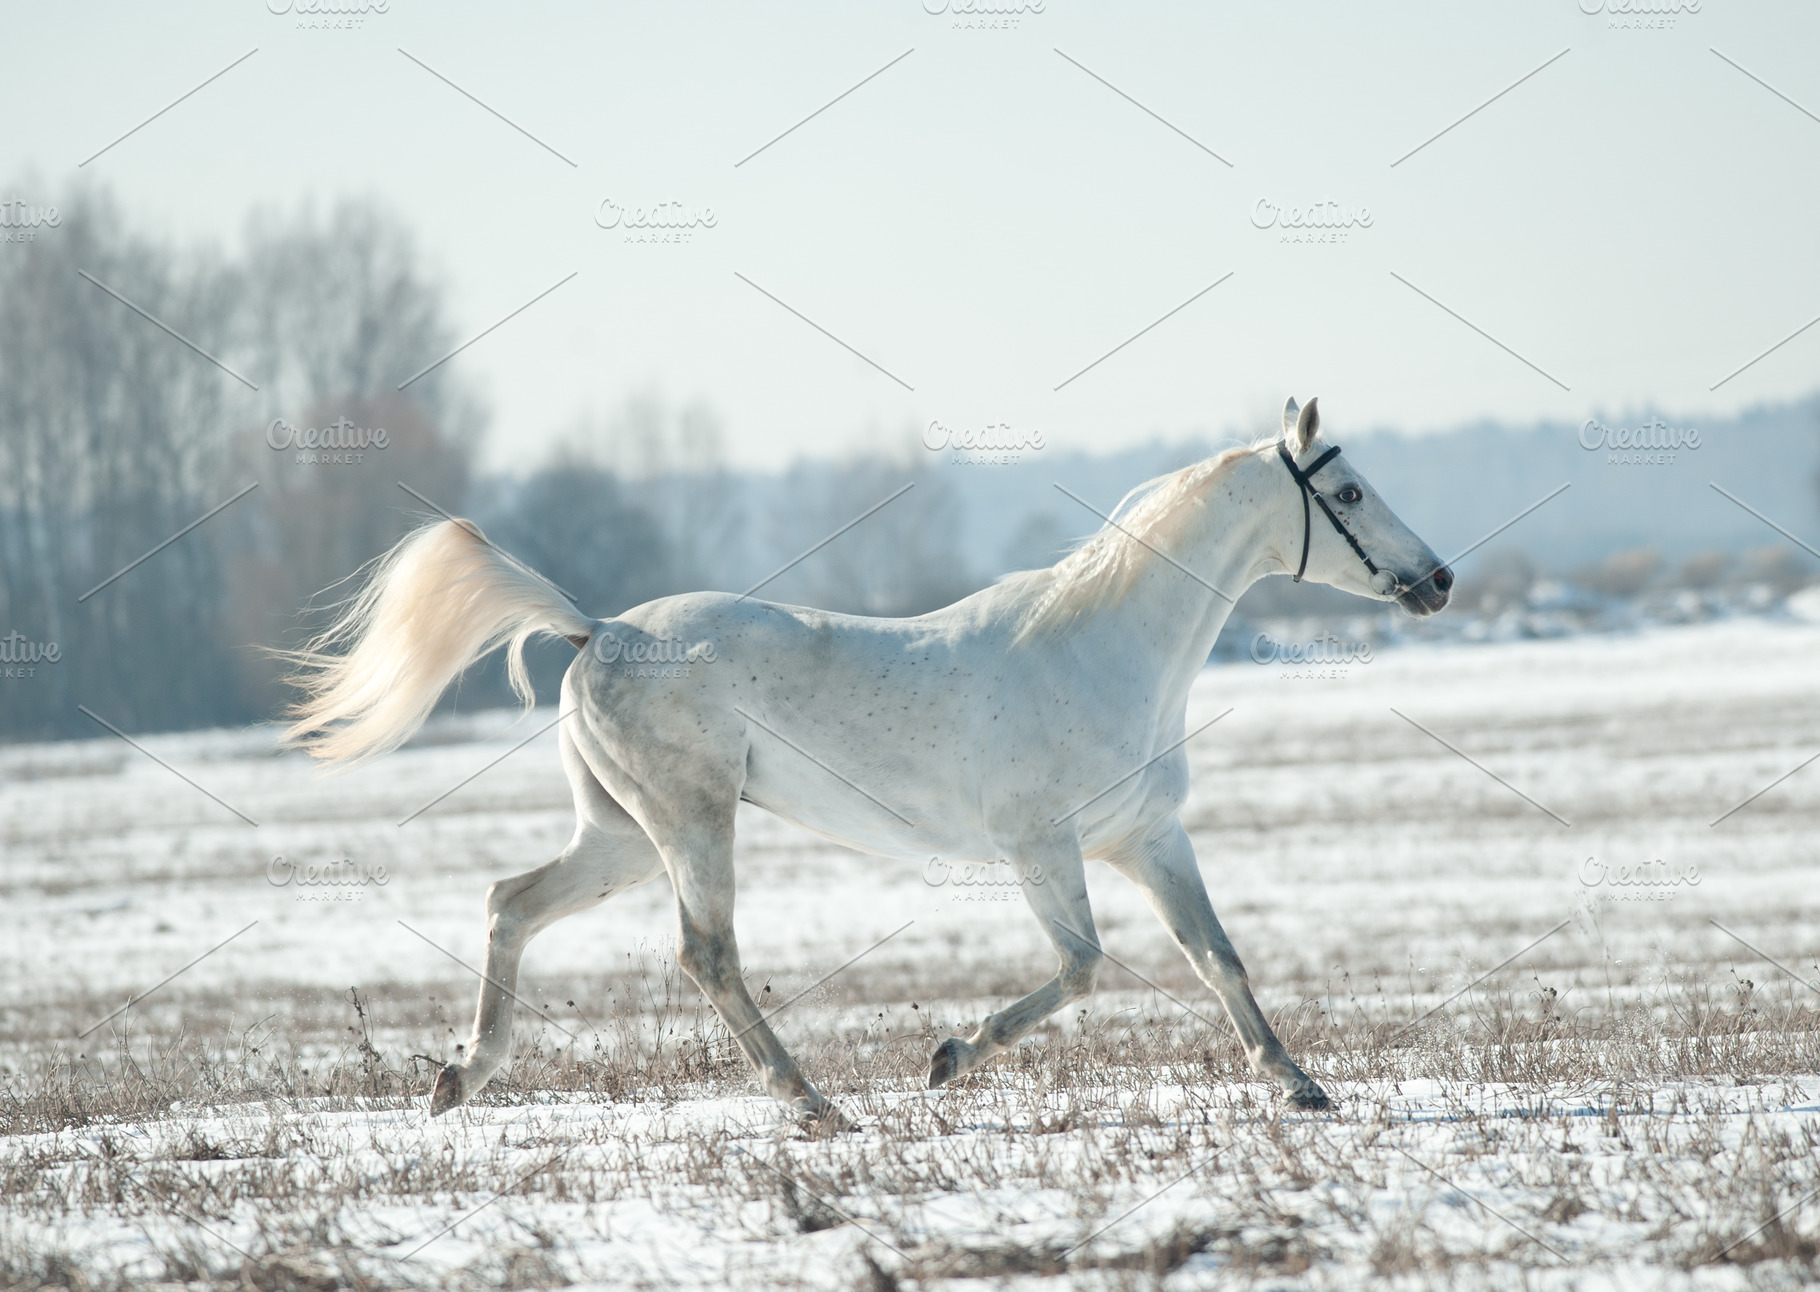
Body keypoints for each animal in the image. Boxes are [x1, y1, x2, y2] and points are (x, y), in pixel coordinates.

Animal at [284, 396, 1452, 1125]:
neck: (1103, 646)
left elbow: (1219, 957)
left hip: (620, 835)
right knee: (706, 955)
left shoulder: (1148, 837)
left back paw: (460, 1077)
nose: (1436, 579)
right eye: (1348, 495)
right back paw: (812, 1104)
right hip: (692, 823)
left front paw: (1298, 1084)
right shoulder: (1043, 848)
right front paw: (946, 1059)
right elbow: (1082, 966)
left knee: (511, 902)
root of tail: (595, 626)